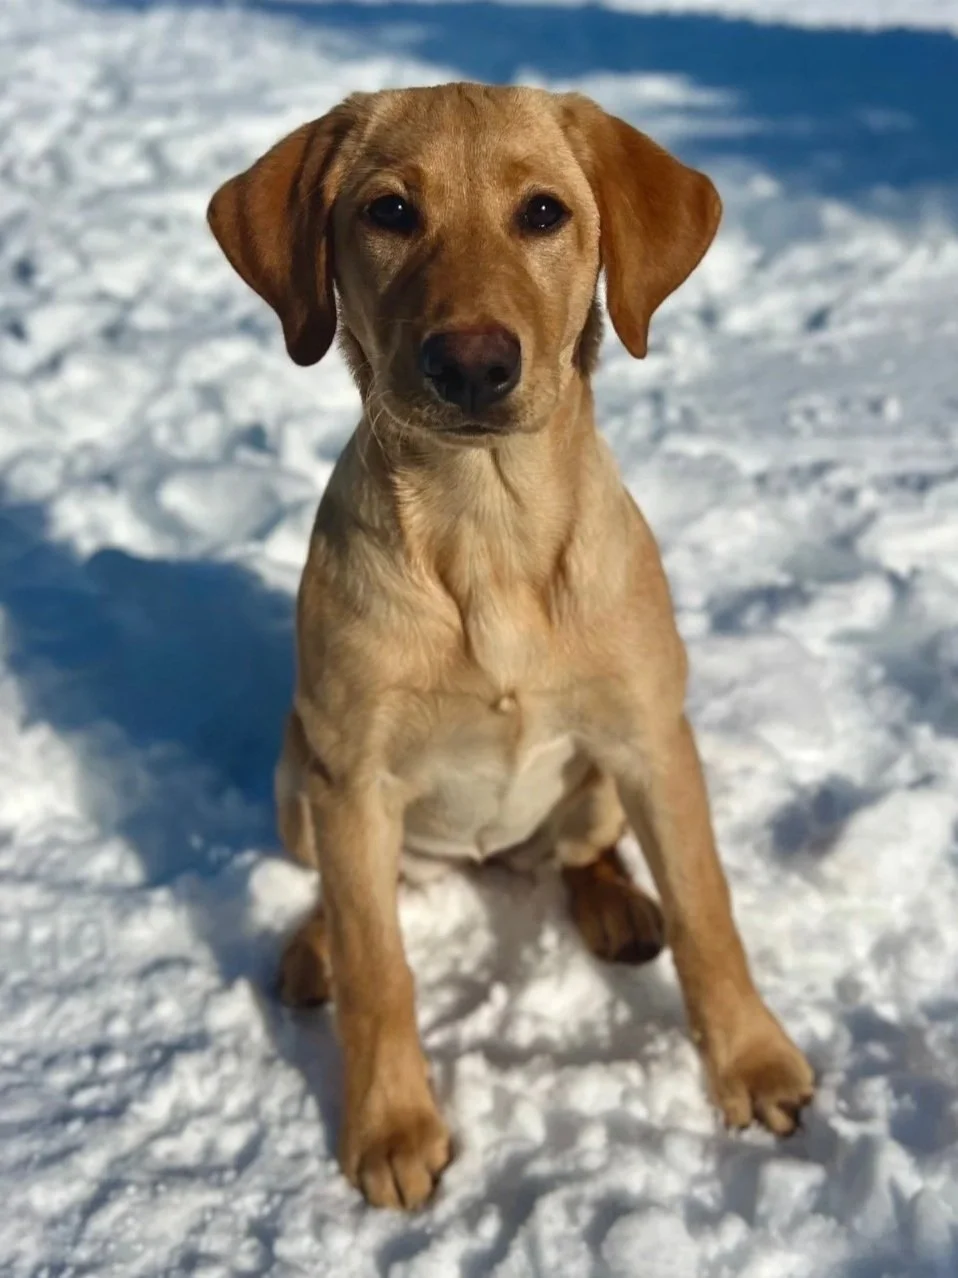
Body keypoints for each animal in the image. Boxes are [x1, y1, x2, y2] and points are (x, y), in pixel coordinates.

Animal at [207, 83, 815, 1210]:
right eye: (389, 211)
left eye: (542, 213)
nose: (473, 363)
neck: (485, 529)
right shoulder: (353, 773)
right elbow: (381, 969)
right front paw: (392, 1129)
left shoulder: (652, 738)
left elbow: (708, 913)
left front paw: (755, 1065)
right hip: (297, 771)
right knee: (344, 901)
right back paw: (313, 950)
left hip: (602, 783)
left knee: (586, 853)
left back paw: (616, 906)